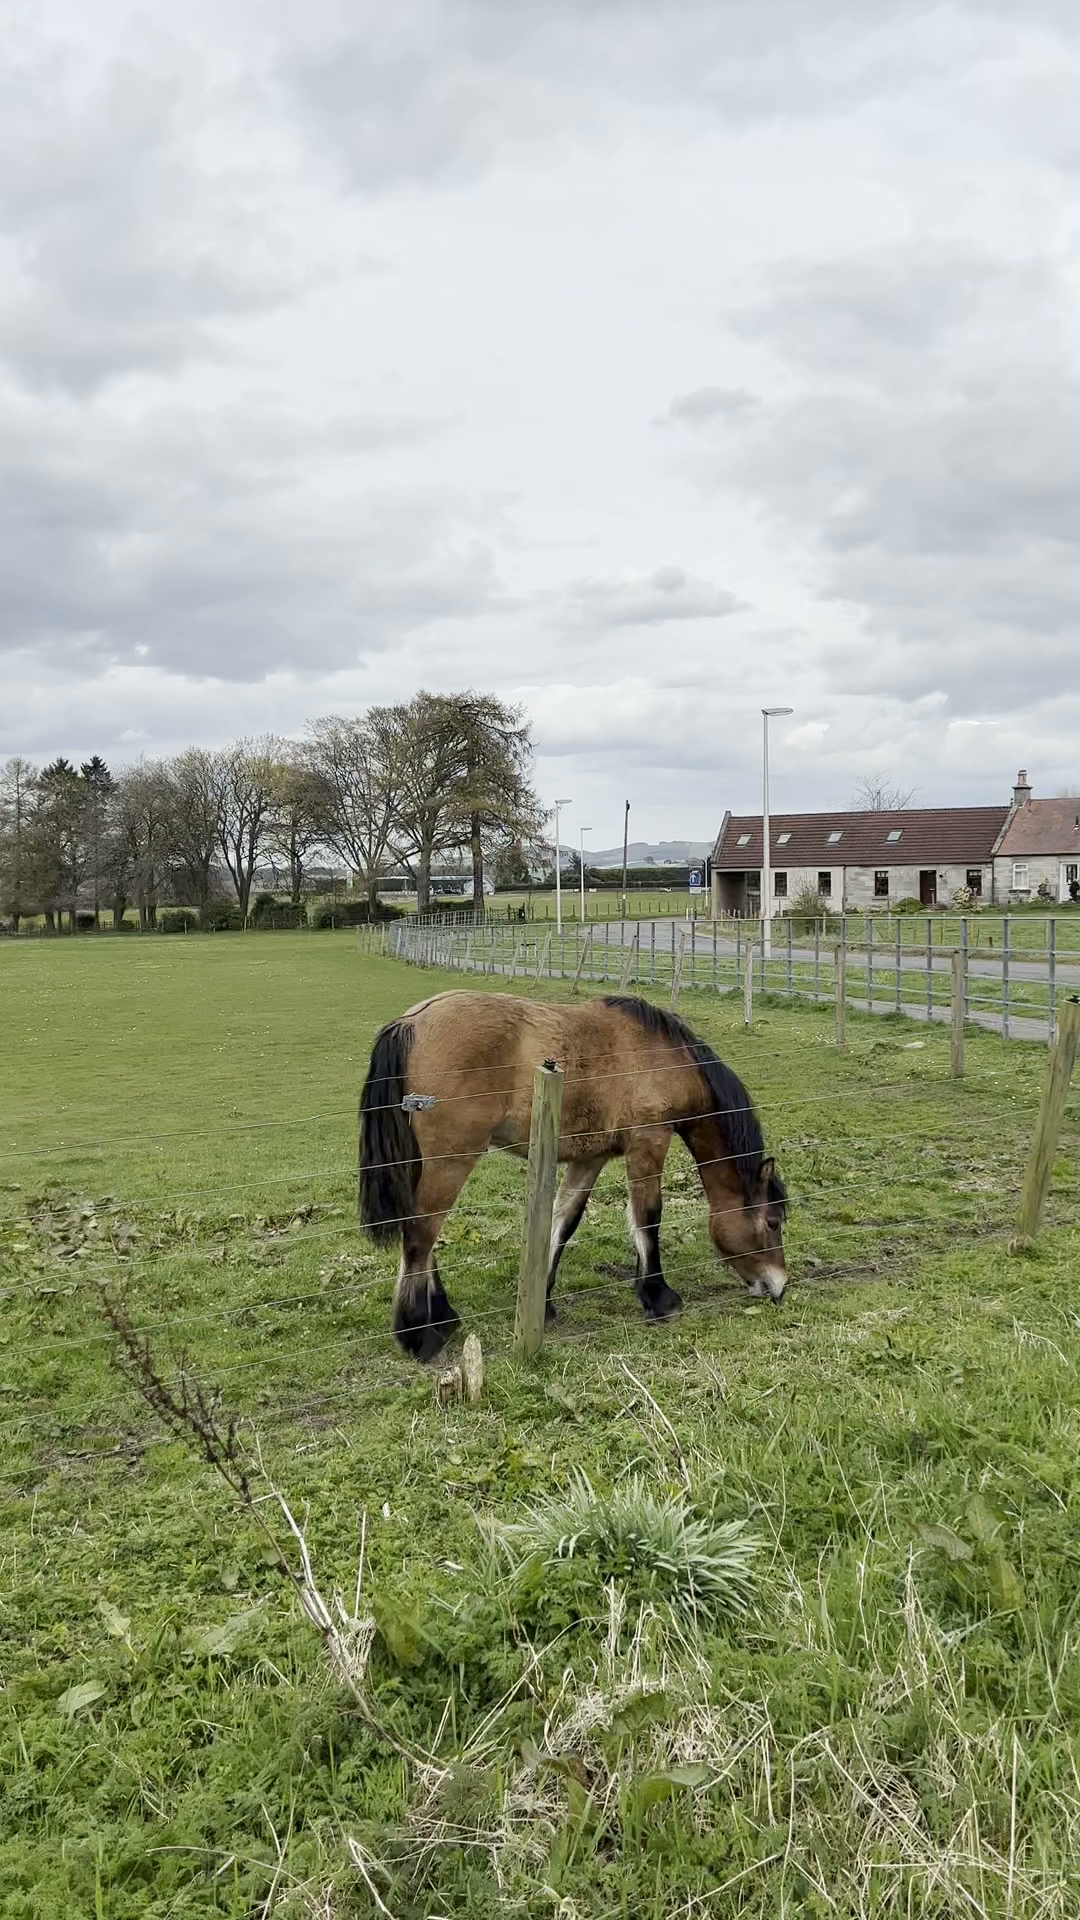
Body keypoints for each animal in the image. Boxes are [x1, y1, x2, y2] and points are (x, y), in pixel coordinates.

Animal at [357, 998, 787, 1359]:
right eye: (772, 1222)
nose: (778, 1287)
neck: (663, 1056)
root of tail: (409, 1023)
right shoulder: (648, 1142)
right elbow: (648, 1218)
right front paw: (659, 1298)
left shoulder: (591, 1158)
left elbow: (564, 1222)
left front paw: (543, 1304)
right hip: (451, 1160)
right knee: (421, 1232)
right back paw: (418, 1334)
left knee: (422, 1234)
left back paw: (442, 1317)